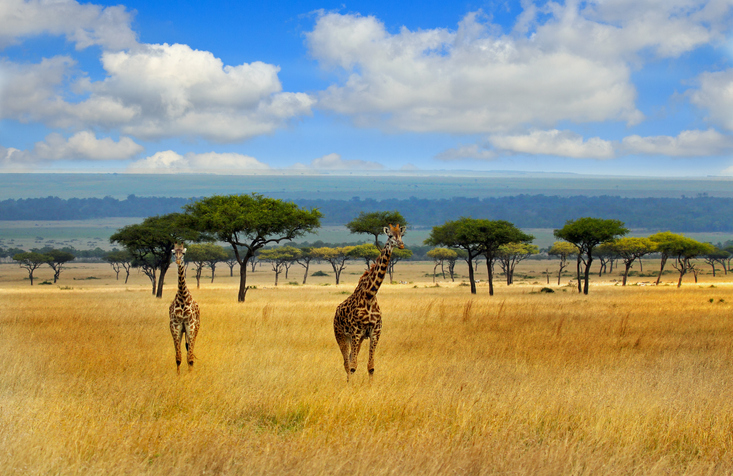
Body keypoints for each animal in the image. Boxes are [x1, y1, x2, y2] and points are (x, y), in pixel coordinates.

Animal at [334, 223, 406, 384]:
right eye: (390, 236)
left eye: (402, 235)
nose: (401, 245)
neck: (370, 295)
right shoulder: (356, 331)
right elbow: (353, 365)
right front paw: (351, 386)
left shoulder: (375, 331)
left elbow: (371, 366)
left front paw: (370, 385)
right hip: (341, 335)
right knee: (346, 362)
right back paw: (347, 382)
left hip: (358, 339)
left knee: (350, 359)